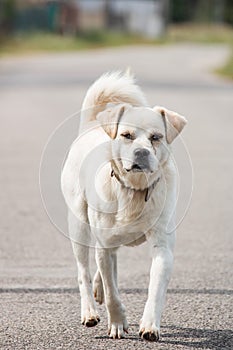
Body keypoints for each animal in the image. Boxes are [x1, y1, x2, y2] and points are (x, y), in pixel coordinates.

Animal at [61, 71, 187, 342]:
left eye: (156, 137)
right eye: (127, 135)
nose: (141, 153)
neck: (135, 191)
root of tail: (91, 124)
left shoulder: (163, 247)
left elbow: (155, 289)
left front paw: (150, 325)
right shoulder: (103, 246)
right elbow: (112, 293)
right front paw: (117, 323)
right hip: (79, 226)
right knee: (84, 270)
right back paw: (89, 311)